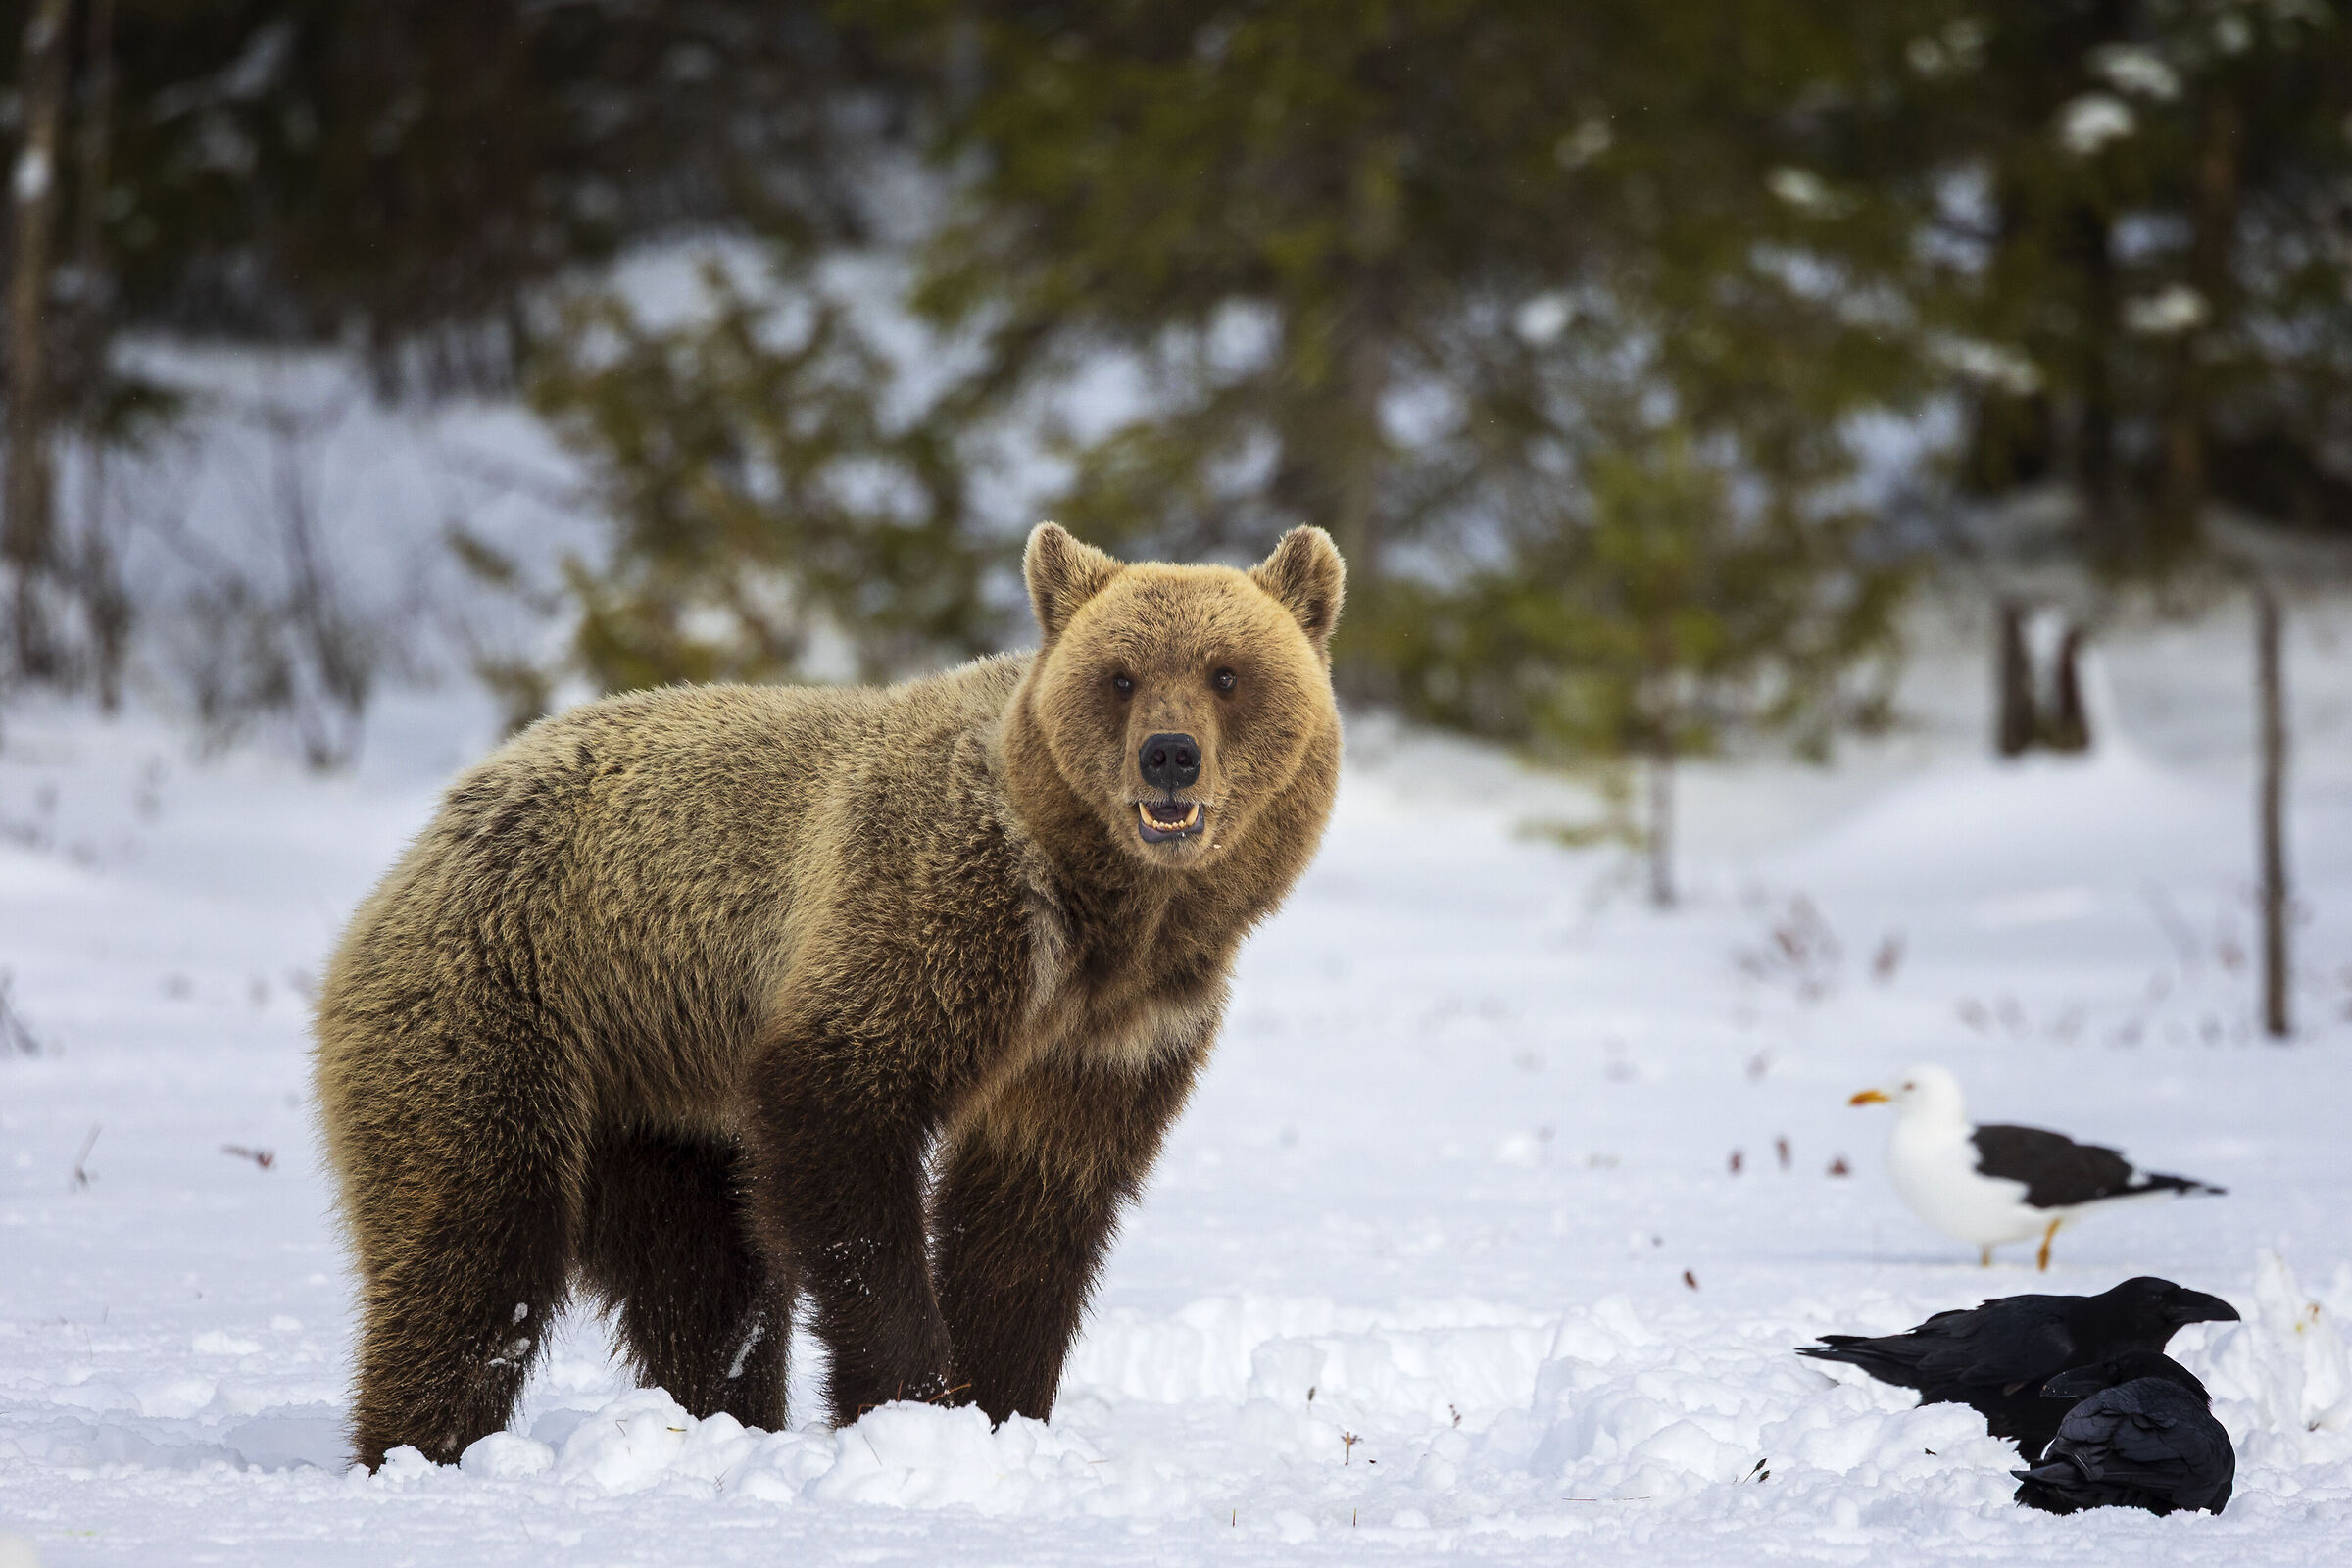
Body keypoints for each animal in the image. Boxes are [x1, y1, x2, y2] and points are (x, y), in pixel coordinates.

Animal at [312, 522, 1345, 1467]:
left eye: (1226, 673)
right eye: (1121, 676)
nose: (1169, 756)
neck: (1104, 920)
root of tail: (427, 839)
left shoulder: (1118, 1032)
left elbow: (1031, 1220)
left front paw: (1003, 1407)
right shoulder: (936, 916)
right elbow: (844, 1126)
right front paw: (913, 1400)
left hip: (660, 1090)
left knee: (703, 1278)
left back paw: (720, 1419)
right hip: (509, 1000)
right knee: (479, 1245)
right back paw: (420, 1448)